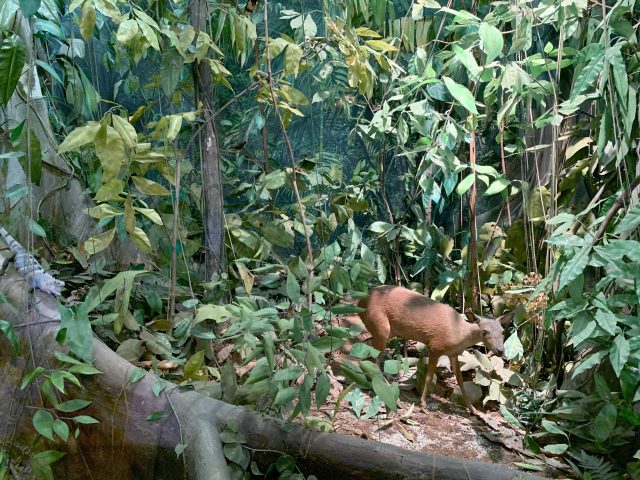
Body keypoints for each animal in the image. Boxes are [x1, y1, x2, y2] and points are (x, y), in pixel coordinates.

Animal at [357, 285, 514, 415]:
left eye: (502, 331)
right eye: (484, 332)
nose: (500, 350)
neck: (459, 333)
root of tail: (360, 302)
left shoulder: (453, 354)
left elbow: (460, 380)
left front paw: (473, 410)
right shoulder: (435, 346)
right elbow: (429, 377)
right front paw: (423, 404)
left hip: (386, 330)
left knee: (367, 350)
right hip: (380, 325)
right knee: (373, 357)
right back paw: (389, 392)